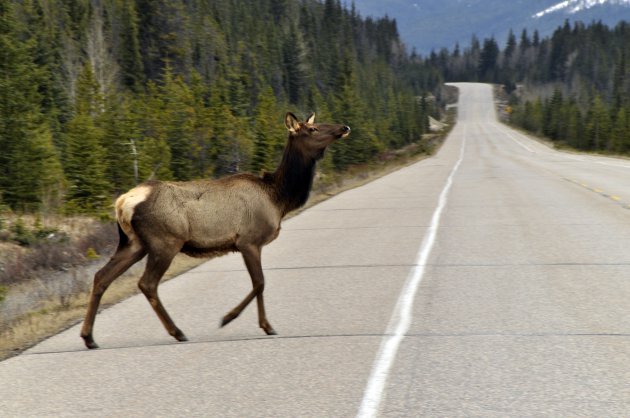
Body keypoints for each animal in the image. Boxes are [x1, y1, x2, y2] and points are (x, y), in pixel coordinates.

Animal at [79, 112, 350, 350]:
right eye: (313, 128)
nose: (344, 127)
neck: (279, 198)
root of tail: (122, 203)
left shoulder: (249, 244)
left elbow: (259, 283)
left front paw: (265, 325)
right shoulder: (249, 241)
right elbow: (260, 282)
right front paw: (231, 318)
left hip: (134, 243)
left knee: (101, 277)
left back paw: (89, 337)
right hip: (165, 242)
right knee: (147, 283)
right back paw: (177, 331)